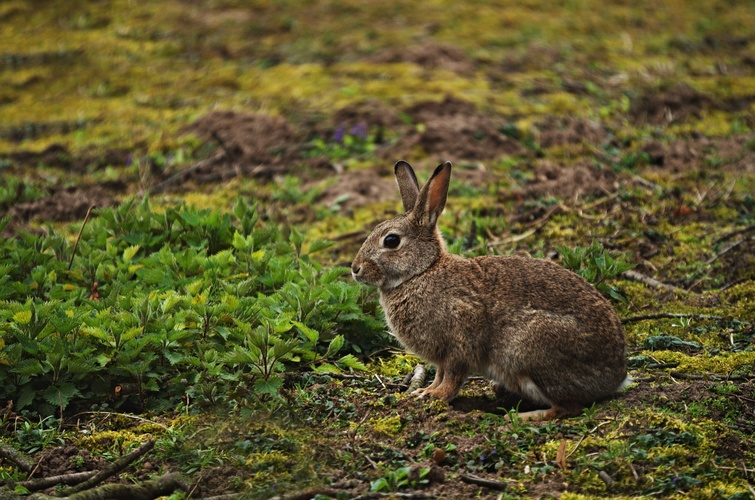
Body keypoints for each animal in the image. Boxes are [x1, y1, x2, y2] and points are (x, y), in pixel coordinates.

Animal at [352, 162, 628, 420]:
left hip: (528, 350)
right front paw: (425, 390)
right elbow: (440, 374)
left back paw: (524, 416)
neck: (421, 271)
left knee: (568, 407)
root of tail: (615, 377)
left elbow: (453, 376)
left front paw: (435, 396)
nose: (355, 269)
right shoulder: (442, 357)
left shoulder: (460, 339)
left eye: (391, 241)